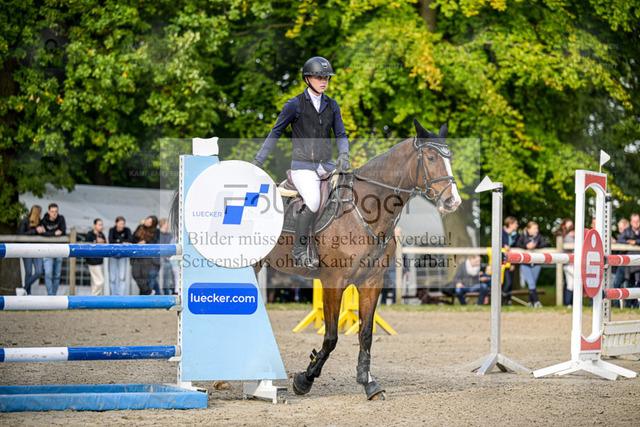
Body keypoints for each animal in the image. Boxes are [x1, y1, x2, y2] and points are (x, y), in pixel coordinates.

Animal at [254, 118, 461, 400]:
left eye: (449, 159)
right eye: (430, 157)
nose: (453, 201)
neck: (367, 210)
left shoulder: (371, 281)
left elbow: (366, 334)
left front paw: (369, 383)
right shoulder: (333, 280)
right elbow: (331, 336)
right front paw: (305, 379)